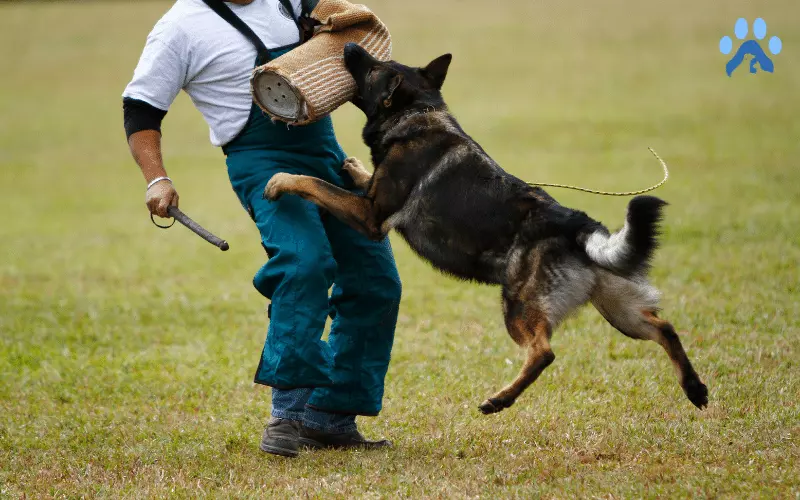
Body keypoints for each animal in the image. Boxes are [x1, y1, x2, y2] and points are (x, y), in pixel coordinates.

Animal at [266, 43, 708, 414]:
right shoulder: (369, 200)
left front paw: (281, 180)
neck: (418, 113)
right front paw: (353, 165)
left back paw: (499, 399)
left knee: (543, 352)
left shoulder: (370, 217)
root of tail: (576, 223)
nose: (349, 45)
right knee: (665, 327)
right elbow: (356, 177)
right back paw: (695, 388)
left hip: (519, 305)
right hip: (620, 312)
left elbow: (312, 182)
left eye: (373, 67)